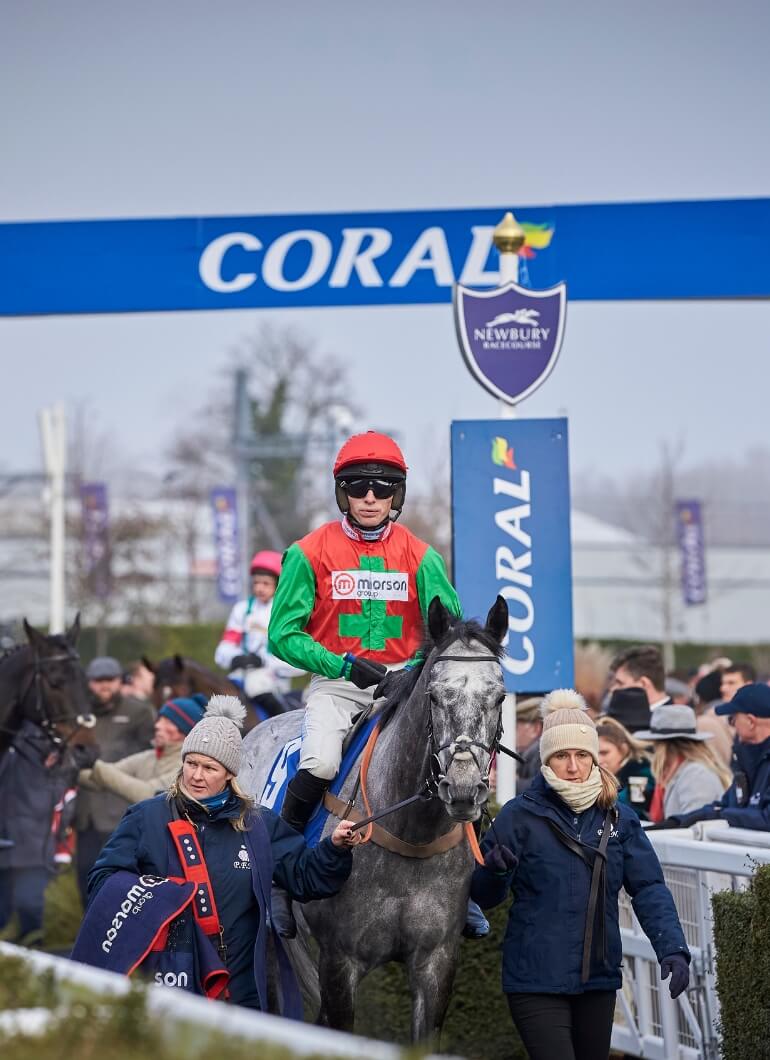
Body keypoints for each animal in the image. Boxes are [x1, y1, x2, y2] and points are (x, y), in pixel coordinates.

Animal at [238, 602, 509, 1038]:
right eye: (435, 696)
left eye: (499, 696)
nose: (464, 788)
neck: (410, 833)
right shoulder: (339, 960)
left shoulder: (437, 962)